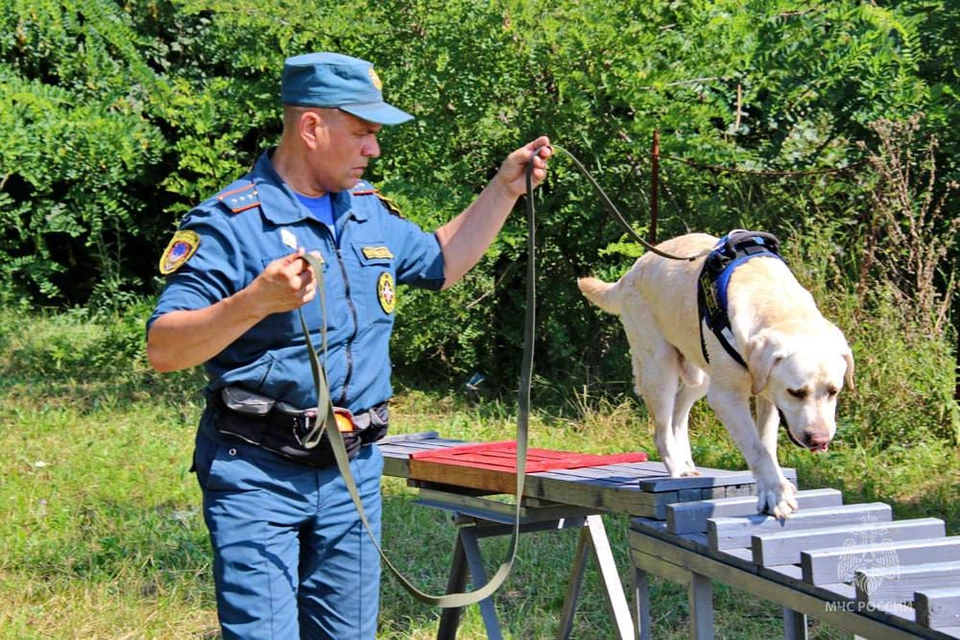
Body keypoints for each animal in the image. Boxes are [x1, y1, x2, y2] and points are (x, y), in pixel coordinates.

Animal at [576, 232, 856, 516]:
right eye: (796, 392)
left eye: (834, 392)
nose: (819, 440)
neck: (777, 305)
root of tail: (629, 274)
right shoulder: (727, 398)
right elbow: (756, 448)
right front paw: (775, 495)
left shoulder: (767, 394)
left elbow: (766, 443)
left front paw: (774, 484)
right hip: (660, 368)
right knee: (662, 428)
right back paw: (677, 468)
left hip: (701, 374)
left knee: (679, 412)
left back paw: (686, 461)